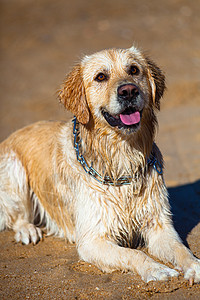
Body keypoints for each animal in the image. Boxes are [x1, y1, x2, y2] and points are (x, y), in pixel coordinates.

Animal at [0, 45, 200, 282]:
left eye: (134, 70)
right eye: (101, 77)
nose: (128, 91)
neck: (121, 157)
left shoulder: (159, 225)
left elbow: (181, 249)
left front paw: (195, 266)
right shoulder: (92, 239)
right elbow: (134, 254)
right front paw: (156, 269)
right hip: (14, 170)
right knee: (16, 217)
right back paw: (28, 230)